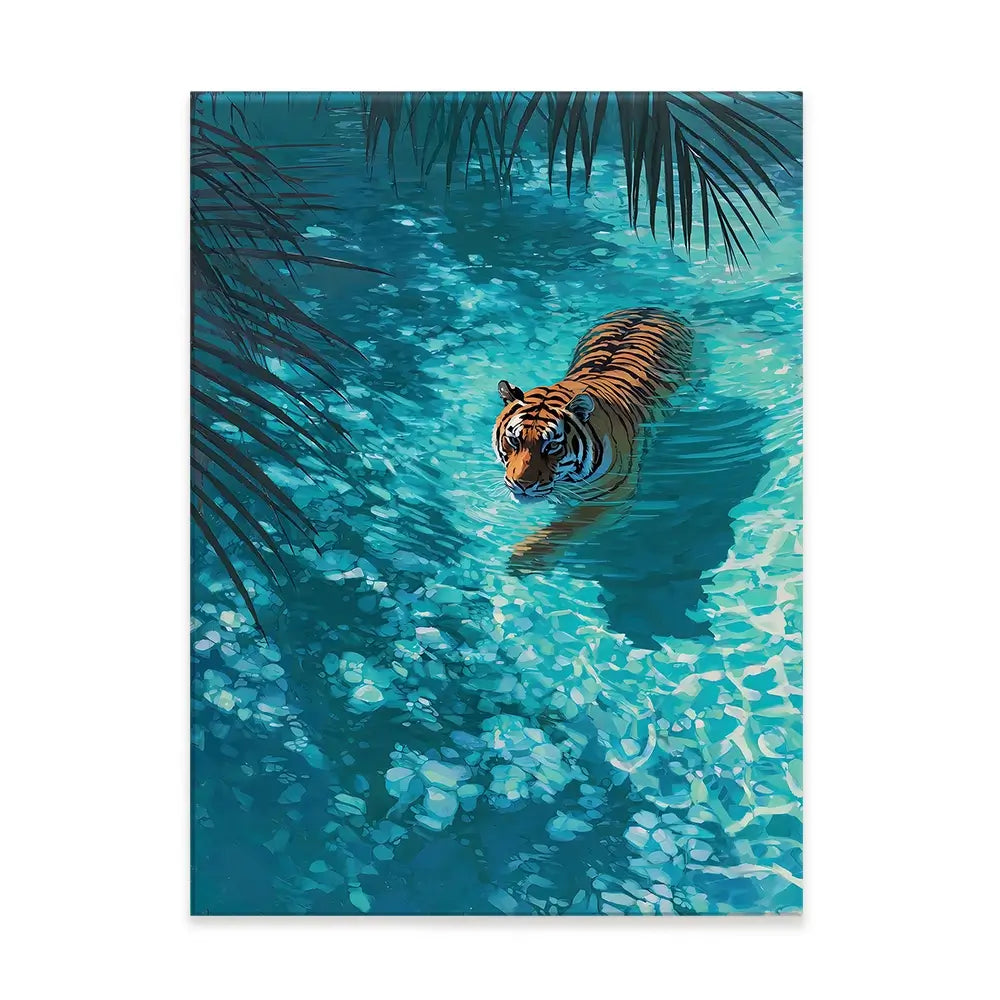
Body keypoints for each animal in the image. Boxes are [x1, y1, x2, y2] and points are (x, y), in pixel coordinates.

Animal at [493, 307, 694, 563]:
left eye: (552, 446)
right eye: (513, 440)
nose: (523, 485)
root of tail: (652, 308)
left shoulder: (613, 498)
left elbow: (563, 528)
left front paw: (524, 556)